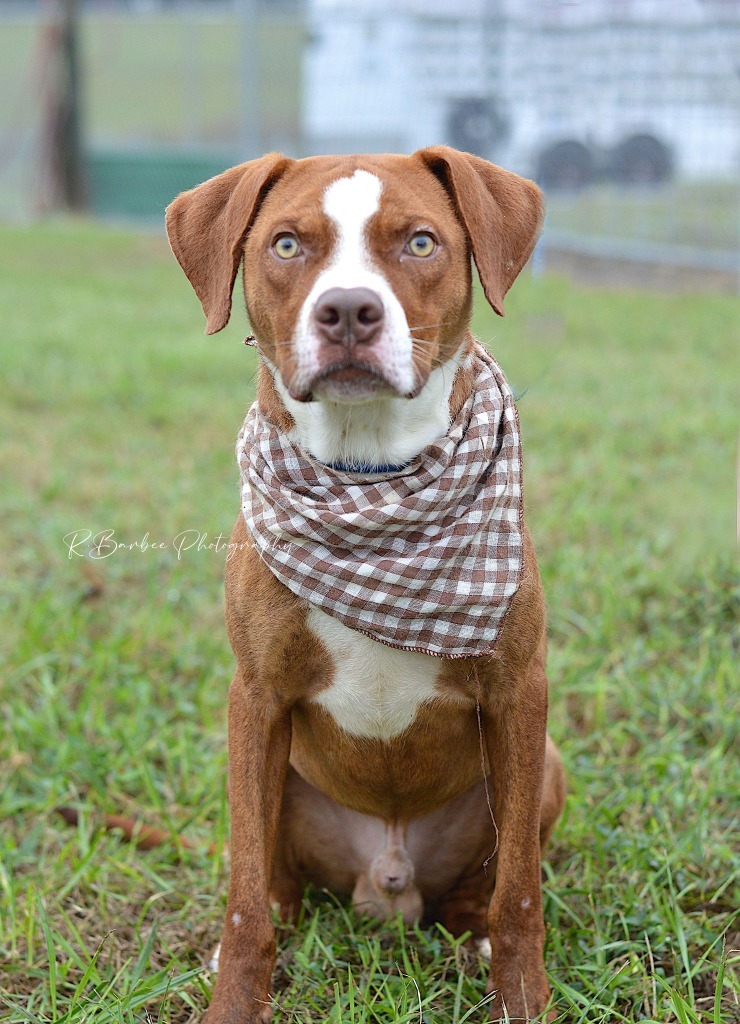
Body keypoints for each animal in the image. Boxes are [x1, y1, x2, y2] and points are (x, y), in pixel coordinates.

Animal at [163, 146, 569, 1024]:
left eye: (419, 242)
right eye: (286, 244)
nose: (348, 310)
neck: (368, 476)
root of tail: (387, 877)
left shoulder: (520, 692)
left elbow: (520, 893)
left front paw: (522, 1000)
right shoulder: (256, 697)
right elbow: (243, 900)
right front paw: (235, 1001)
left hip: (544, 766)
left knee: (489, 881)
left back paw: (469, 932)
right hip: (267, 769)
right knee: (271, 882)